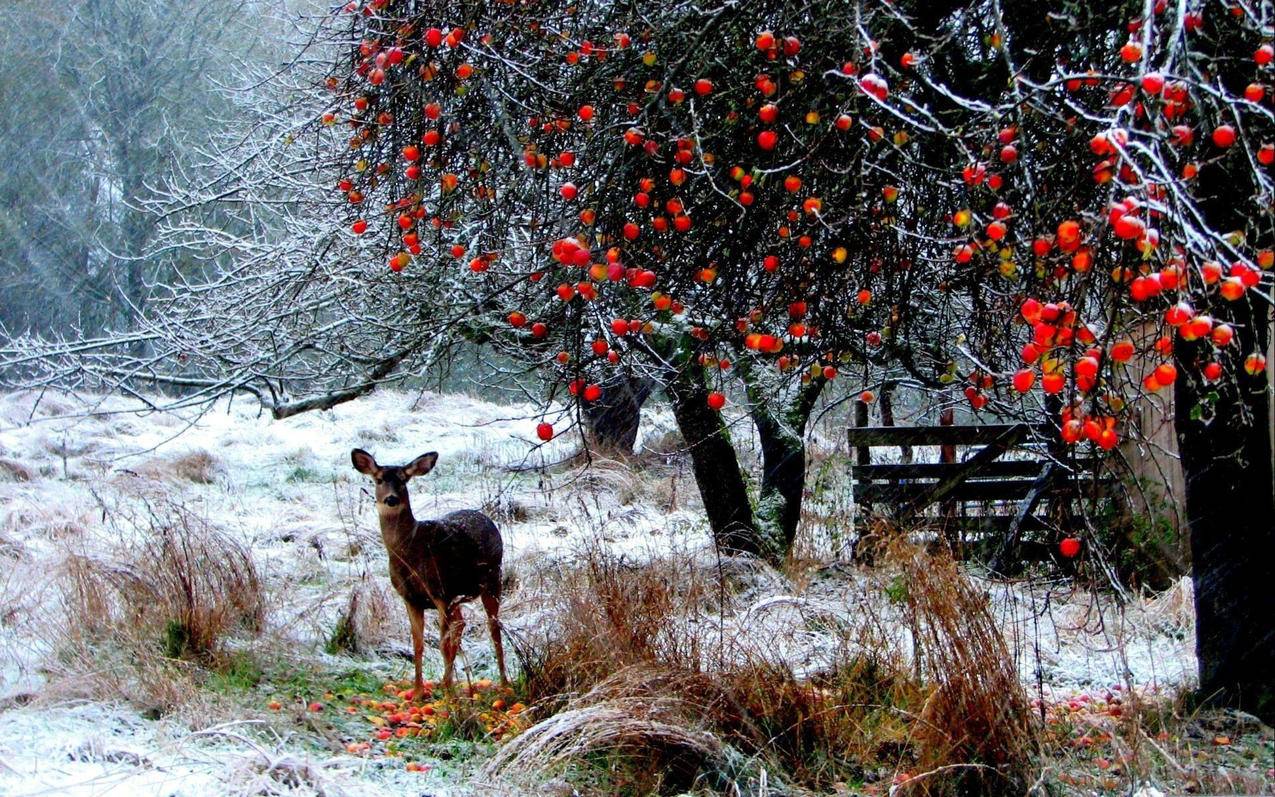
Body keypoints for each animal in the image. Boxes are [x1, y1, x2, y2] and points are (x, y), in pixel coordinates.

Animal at [351, 448, 510, 693]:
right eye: (378, 480)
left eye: (403, 480)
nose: (391, 499)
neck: (409, 553)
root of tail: (486, 518)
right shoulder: (411, 598)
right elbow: (418, 644)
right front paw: (418, 691)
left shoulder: (439, 592)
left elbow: (443, 644)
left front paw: (448, 695)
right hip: (458, 595)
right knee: (461, 623)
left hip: (493, 578)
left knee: (494, 628)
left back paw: (502, 682)